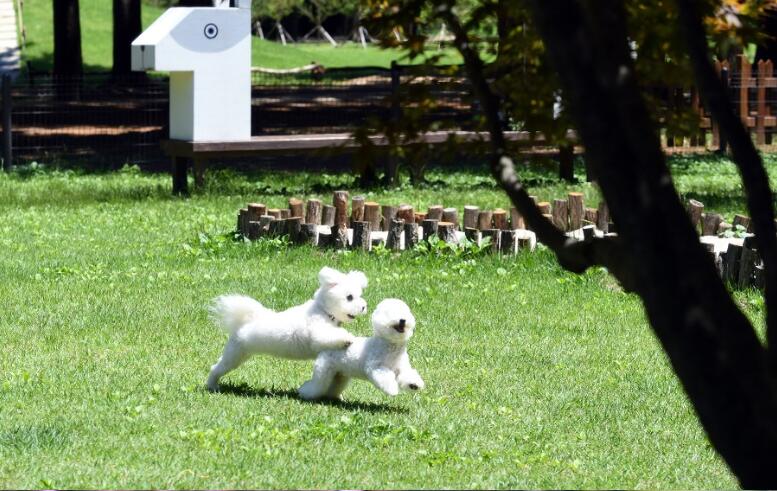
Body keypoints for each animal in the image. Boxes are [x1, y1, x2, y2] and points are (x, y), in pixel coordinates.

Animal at [203, 268, 366, 390]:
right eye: (349, 297)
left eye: (359, 296)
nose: (364, 306)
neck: (323, 310)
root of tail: (245, 321)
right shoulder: (317, 333)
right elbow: (330, 336)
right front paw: (347, 338)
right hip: (235, 354)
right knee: (216, 368)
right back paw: (212, 385)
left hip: (241, 353)